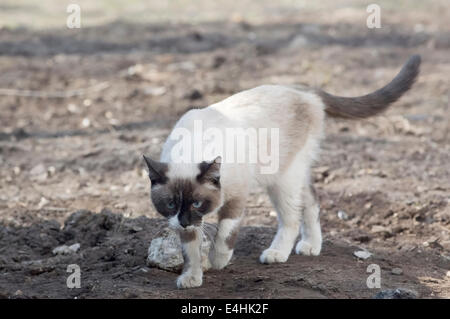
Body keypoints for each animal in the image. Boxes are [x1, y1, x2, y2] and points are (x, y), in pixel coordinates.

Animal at [144, 55, 422, 290]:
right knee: (311, 200)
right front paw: (192, 278)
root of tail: (302, 89)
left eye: (197, 203)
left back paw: (277, 253)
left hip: (282, 177)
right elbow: (190, 250)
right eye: (171, 204)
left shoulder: (235, 198)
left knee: (292, 217)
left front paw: (218, 260)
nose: (184, 221)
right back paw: (311, 246)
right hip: (294, 172)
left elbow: (225, 234)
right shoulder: (185, 222)